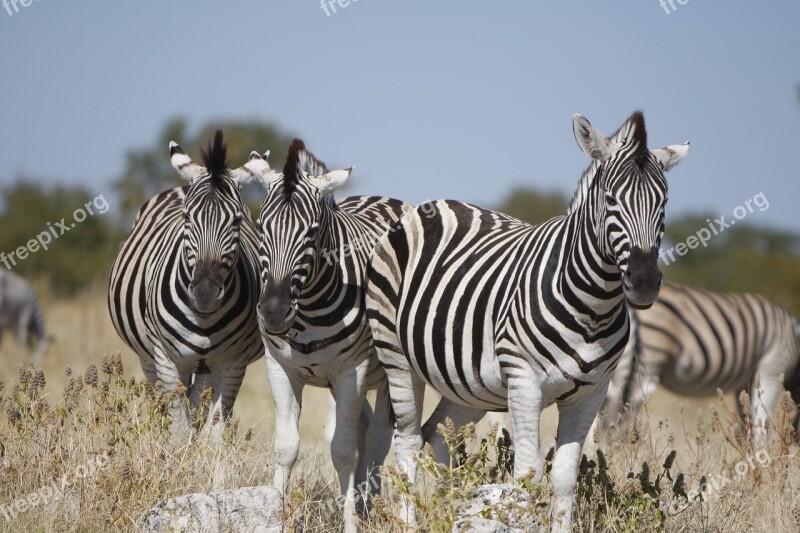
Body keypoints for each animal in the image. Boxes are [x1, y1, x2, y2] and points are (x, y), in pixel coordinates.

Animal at [108, 131, 268, 434]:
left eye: (237, 221)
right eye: (186, 217)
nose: (205, 294)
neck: (204, 321)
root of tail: (183, 184)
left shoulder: (232, 365)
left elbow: (214, 430)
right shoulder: (166, 360)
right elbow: (178, 430)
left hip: (205, 368)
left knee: (198, 406)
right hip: (149, 360)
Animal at [252, 138, 412, 532]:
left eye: (310, 232)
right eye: (261, 227)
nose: (274, 312)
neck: (308, 308)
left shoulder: (351, 372)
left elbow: (343, 452)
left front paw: (351, 522)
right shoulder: (280, 368)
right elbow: (287, 447)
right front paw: (277, 517)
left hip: (390, 374)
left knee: (379, 441)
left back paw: (375, 508)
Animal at [364, 110, 688, 528]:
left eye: (663, 202)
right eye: (610, 199)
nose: (645, 282)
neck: (593, 309)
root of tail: (428, 207)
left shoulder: (592, 393)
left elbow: (564, 477)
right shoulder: (524, 383)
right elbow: (527, 475)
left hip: (467, 382)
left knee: (437, 434)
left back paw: (450, 511)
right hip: (398, 358)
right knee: (406, 441)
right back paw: (411, 522)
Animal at [596, 282, 796, 444]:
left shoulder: (746, 383)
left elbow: (748, 423)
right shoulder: (771, 366)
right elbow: (761, 426)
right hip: (648, 358)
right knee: (623, 414)